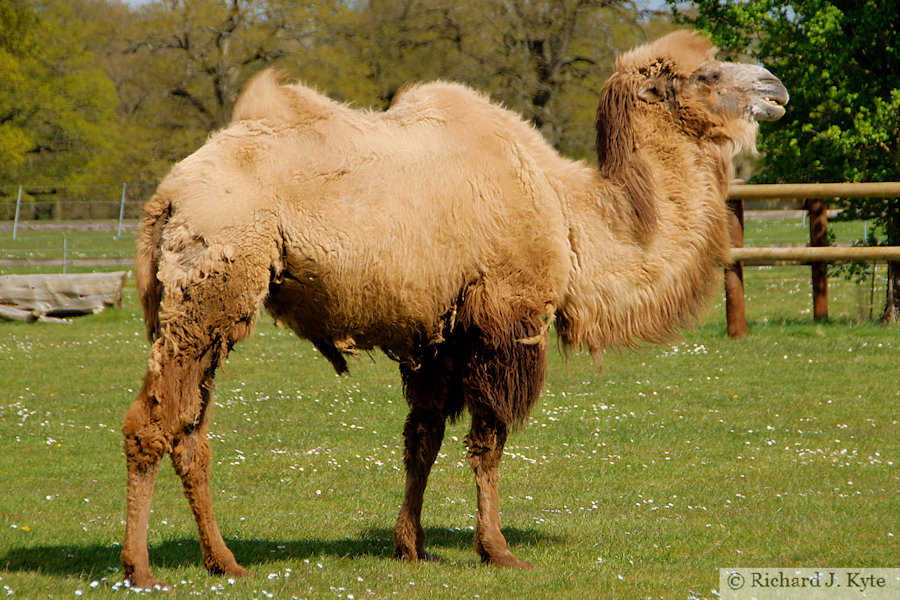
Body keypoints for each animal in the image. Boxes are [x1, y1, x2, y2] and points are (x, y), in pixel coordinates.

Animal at [121, 29, 788, 584]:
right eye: (707, 74)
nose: (776, 88)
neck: (569, 211)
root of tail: (165, 198)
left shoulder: (438, 335)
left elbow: (423, 437)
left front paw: (410, 547)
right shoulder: (504, 321)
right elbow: (489, 440)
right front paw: (496, 550)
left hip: (203, 308)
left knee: (191, 433)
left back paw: (224, 561)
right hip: (213, 288)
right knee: (151, 425)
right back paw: (141, 568)